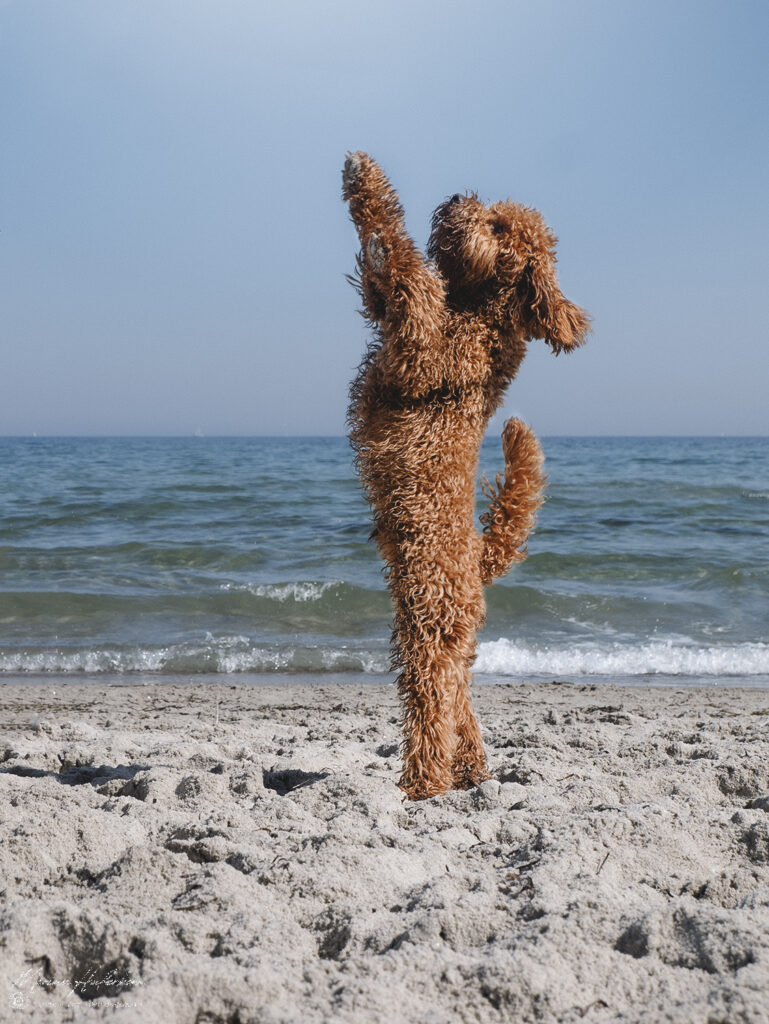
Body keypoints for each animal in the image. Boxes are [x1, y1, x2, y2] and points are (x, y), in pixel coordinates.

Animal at [342, 155, 589, 802]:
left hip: (429, 618)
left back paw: (425, 781)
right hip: (438, 626)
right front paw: (368, 198)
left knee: (434, 701)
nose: (458, 198)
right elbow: (382, 279)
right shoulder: (395, 325)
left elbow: (408, 268)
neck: (481, 310)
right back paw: (473, 768)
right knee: (459, 697)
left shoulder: (425, 351)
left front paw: (367, 181)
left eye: (499, 227)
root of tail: (479, 559)